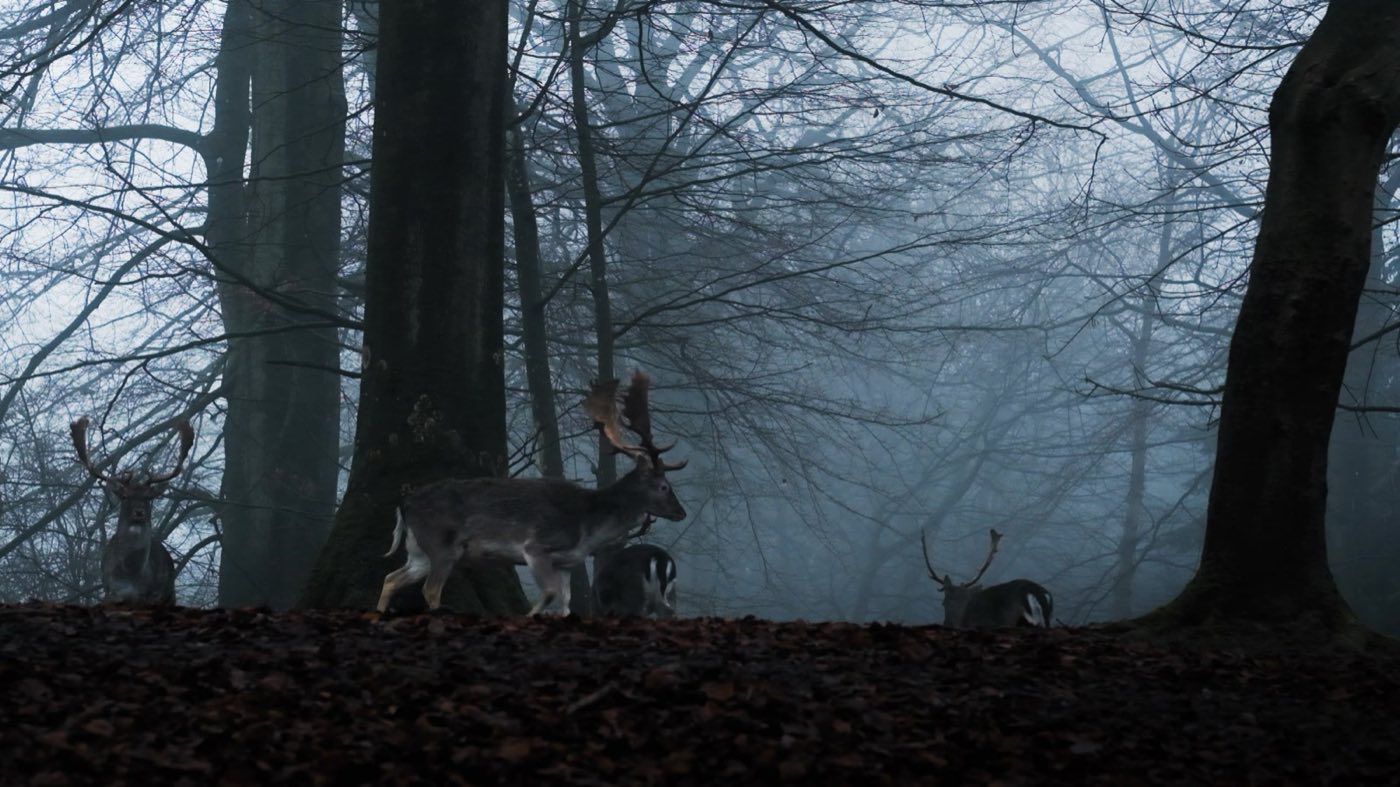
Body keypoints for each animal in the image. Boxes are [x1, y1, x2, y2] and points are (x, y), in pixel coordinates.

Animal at [71, 417, 194, 605]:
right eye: (124, 496)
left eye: (148, 497)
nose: (139, 512)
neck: (133, 575)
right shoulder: (111, 592)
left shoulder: (155, 595)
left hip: (170, 593)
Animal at [377, 370, 687, 615]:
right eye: (664, 486)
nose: (681, 513)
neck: (587, 527)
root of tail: (403, 505)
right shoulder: (536, 546)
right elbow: (548, 594)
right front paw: (528, 616)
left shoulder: (566, 563)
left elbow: (565, 603)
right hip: (442, 545)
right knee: (430, 589)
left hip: (419, 551)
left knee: (391, 577)